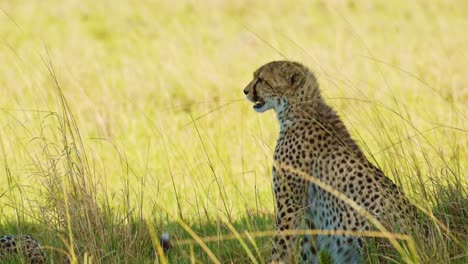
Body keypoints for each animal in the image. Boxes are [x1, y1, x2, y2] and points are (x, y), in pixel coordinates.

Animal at [243, 60, 430, 262]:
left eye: (261, 79)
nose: (245, 91)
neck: (300, 107)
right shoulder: (311, 216)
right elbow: (307, 251)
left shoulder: (290, 205)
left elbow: (280, 247)